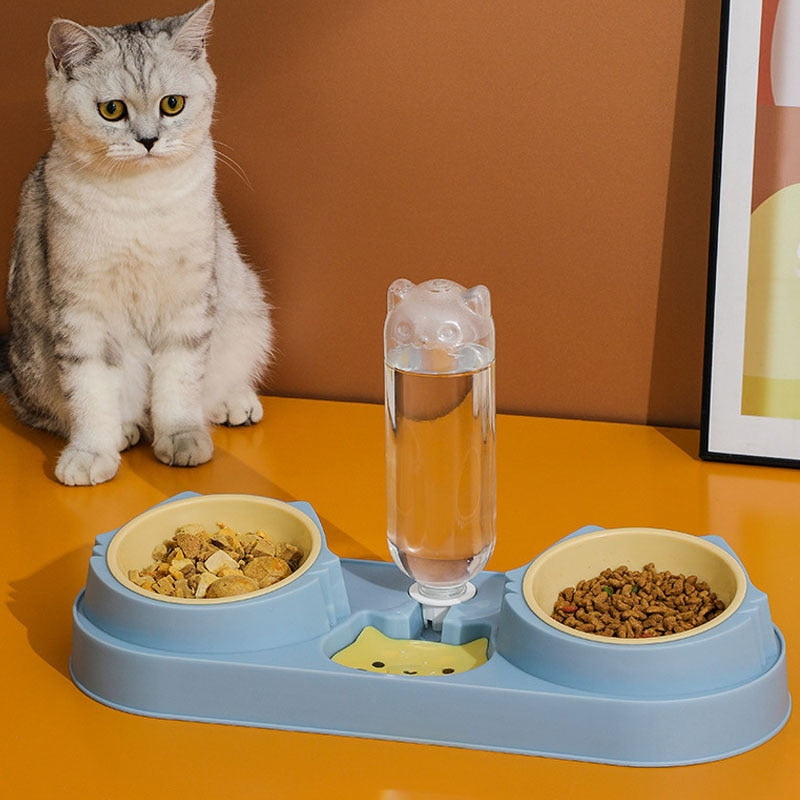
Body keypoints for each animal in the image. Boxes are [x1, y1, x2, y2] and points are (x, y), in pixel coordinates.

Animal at [1, 1, 274, 488]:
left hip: (247, 307)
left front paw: (182, 437)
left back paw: (233, 401)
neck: (140, 202)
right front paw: (92, 451)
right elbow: (89, 391)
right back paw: (126, 430)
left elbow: (180, 383)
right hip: (31, 370)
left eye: (172, 104)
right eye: (112, 110)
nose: (148, 140)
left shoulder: (189, 301)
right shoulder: (81, 310)